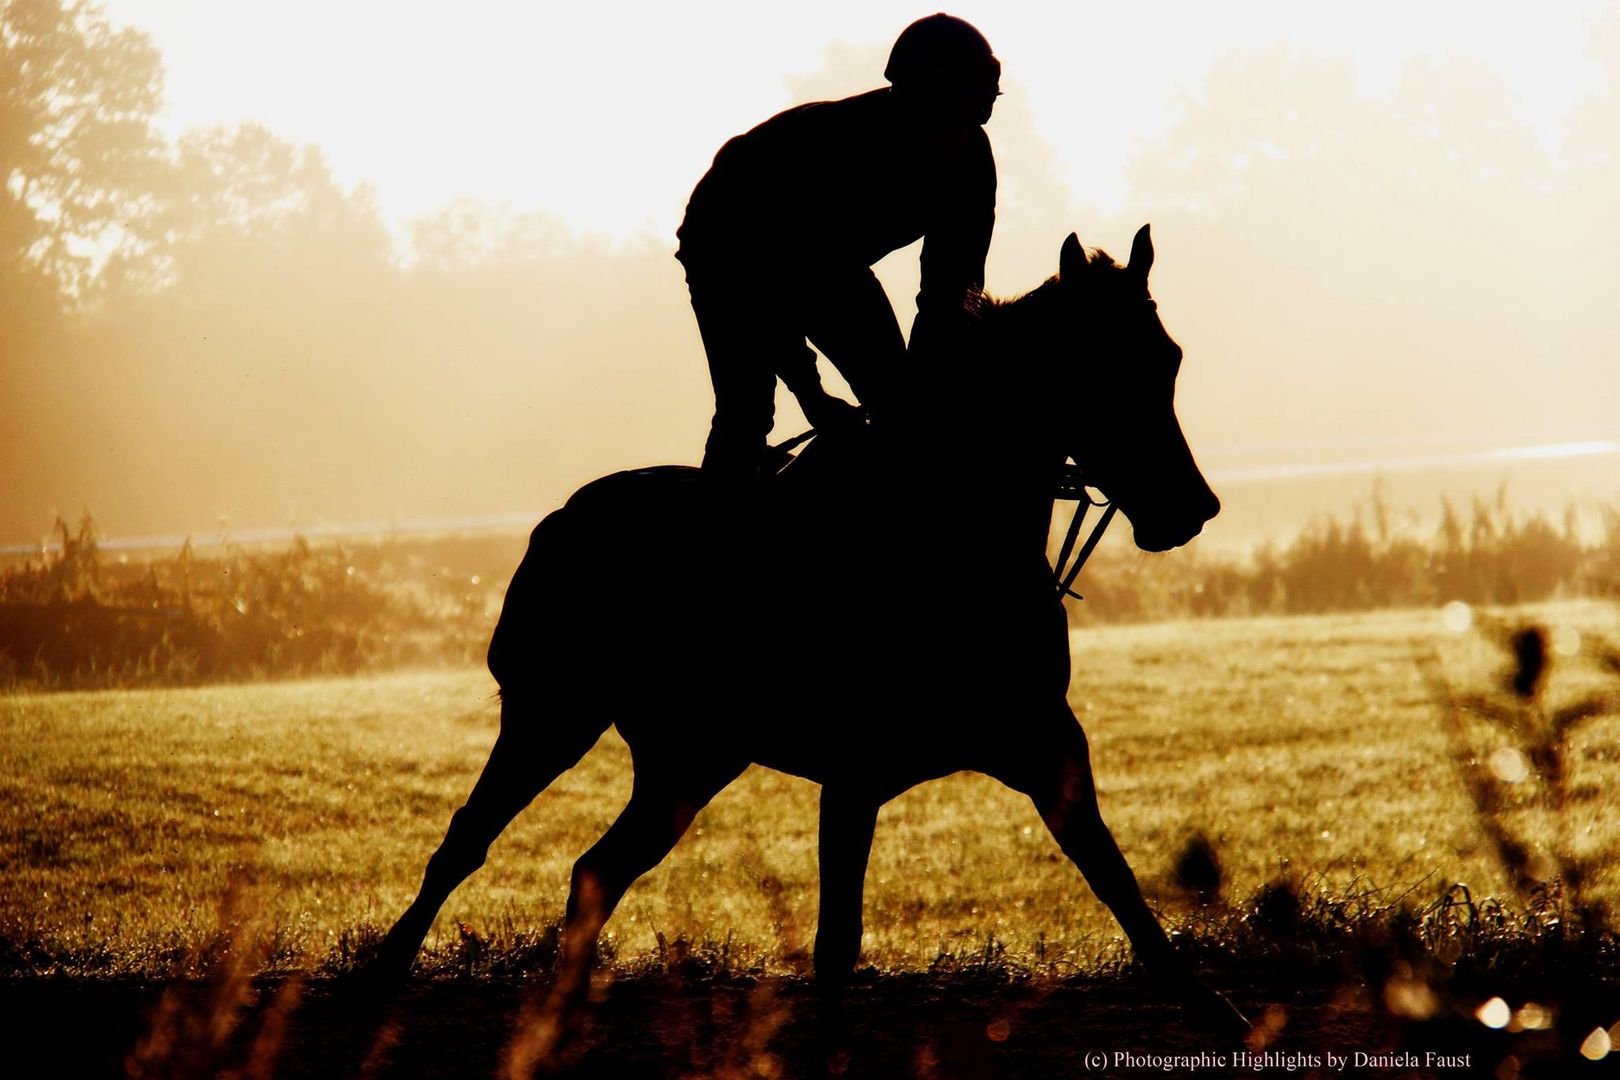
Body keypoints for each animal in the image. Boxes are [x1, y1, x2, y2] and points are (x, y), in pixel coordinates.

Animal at [372, 226, 1244, 1049]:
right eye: (1098, 366)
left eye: (1167, 358)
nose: (1190, 507)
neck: (946, 542)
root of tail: (563, 518)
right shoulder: (854, 774)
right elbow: (836, 942)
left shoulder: (1045, 742)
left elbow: (1117, 882)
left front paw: (1220, 1013)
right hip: (553, 715)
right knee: (467, 840)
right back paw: (384, 975)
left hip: (690, 758)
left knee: (596, 871)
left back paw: (557, 1016)